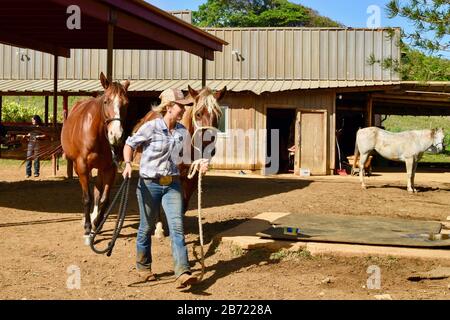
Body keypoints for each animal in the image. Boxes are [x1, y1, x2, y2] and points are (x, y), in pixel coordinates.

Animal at [61, 72, 130, 242]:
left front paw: (97, 223)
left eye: (126, 103)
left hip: (100, 168)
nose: (116, 136)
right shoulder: (82, 167)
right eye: (106, 101)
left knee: (98, 191)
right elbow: (87, 198)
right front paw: (87, 227)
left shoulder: (110, 168)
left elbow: (104, 199)